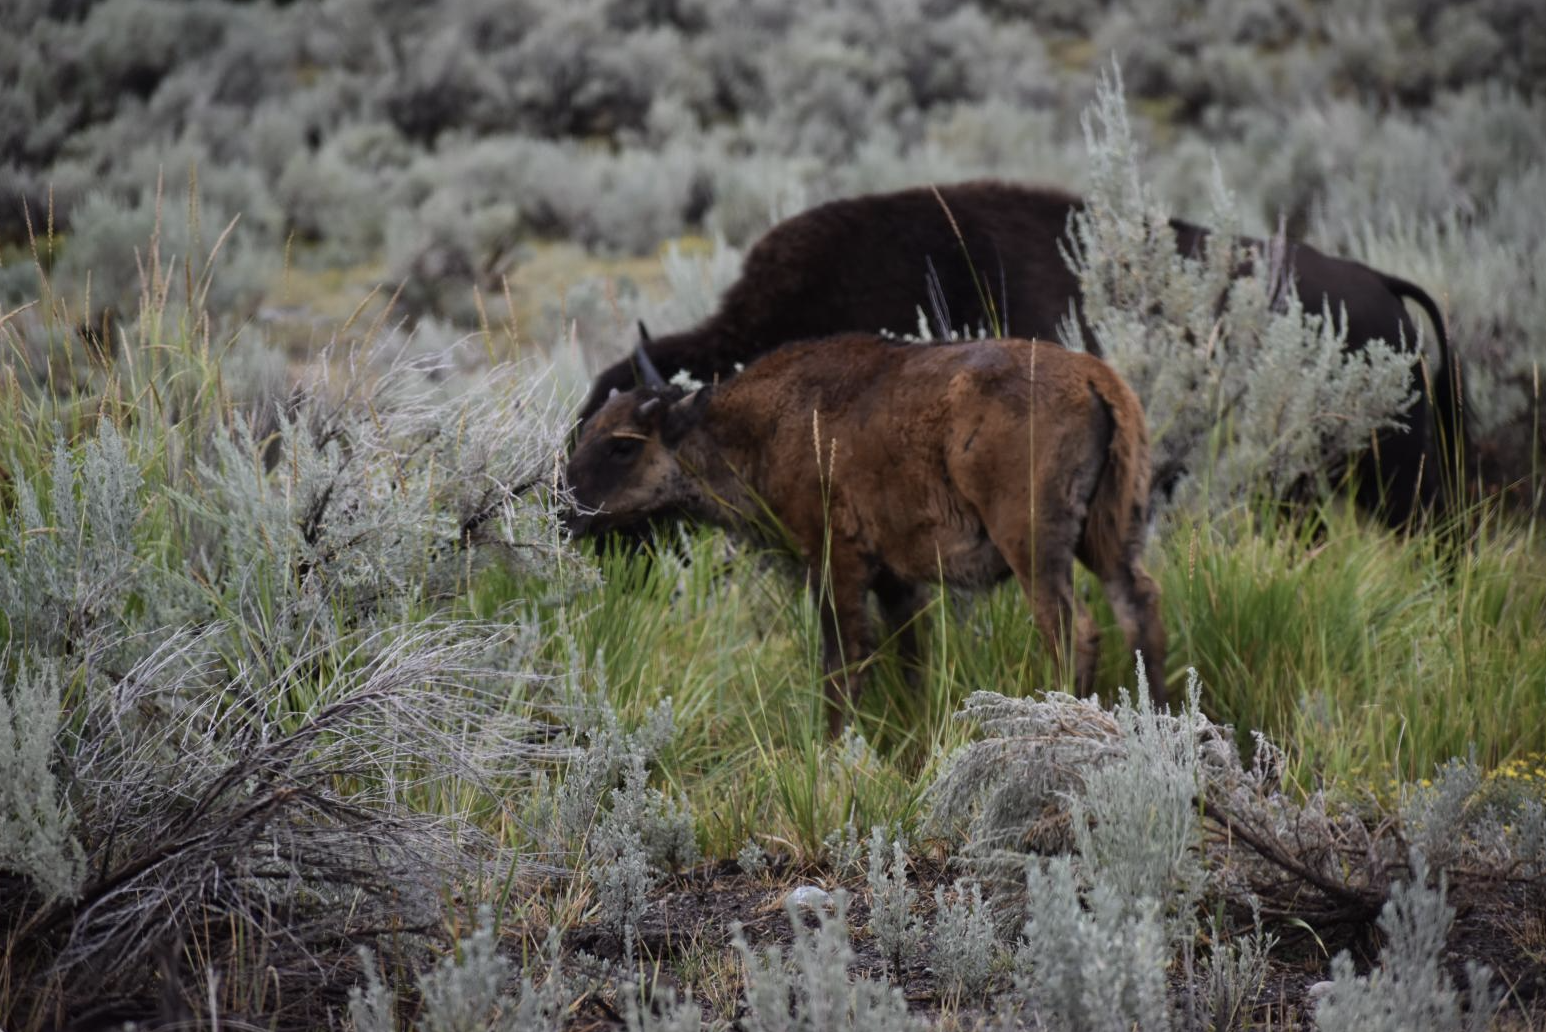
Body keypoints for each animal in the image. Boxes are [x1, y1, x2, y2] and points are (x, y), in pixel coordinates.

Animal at [572, 335, 1168, 729]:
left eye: (622, 446)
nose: (565, 505)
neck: (762, 426)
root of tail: (1094, 377)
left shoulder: (836, 564)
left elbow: (843, 660)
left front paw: (834, 746)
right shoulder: (896, 579)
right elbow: (910, 659)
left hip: (1035, 547)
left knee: (1072, 631)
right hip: (1109, 537)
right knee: (1138, 608)